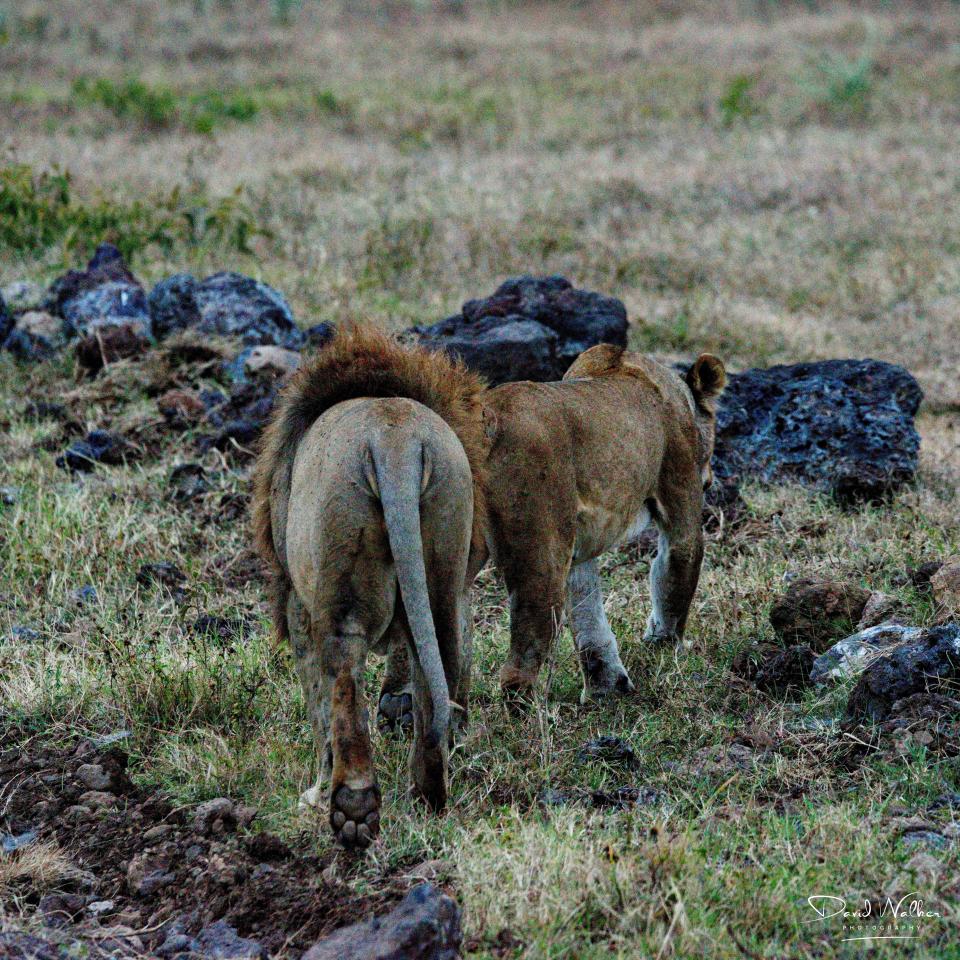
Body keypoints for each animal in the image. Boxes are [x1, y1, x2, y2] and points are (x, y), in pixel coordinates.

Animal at [252, 326, 488, 848]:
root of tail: (394, 441)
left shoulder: (296, 600)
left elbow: (315, 700)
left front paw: (317, 787)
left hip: (341, 574)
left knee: (342, 677)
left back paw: (351, 805)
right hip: (444, 537)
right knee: (439, 660)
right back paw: (428, 792)